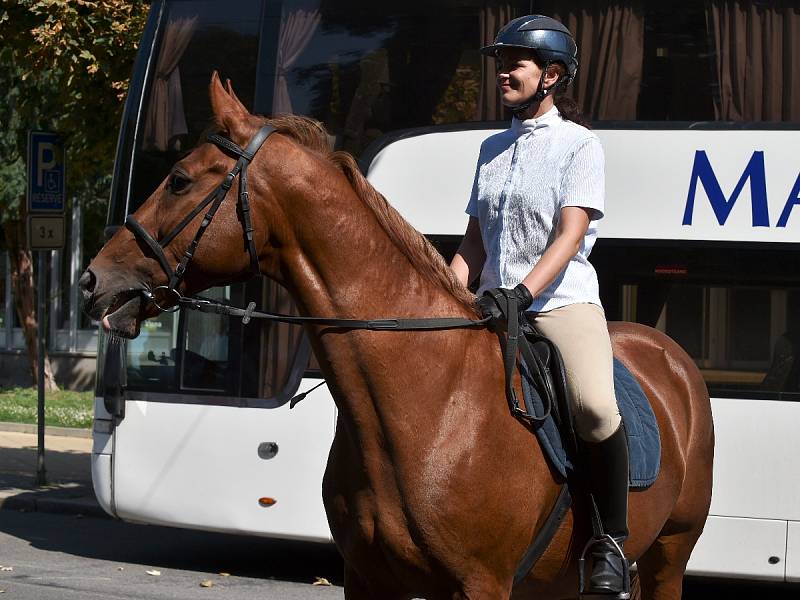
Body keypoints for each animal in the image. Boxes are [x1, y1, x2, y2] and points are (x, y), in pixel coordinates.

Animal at [83, 75, 712, 600]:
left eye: (179, 181)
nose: (92, 280)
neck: (423, 405)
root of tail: (671, 355)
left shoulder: (481, 584)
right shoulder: (367, 578)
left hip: (669, 555)